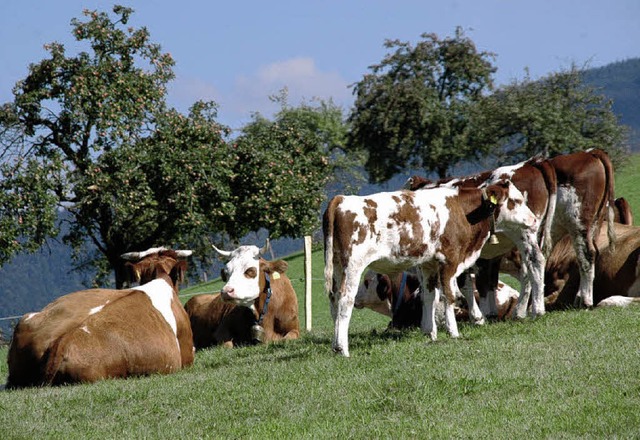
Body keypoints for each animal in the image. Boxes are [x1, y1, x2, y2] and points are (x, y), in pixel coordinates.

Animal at [322, 180, 536, 356]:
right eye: (516, 200)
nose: (534, 220)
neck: (462, 210)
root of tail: (341, 199)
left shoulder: (428, 264)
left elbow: (430, 296)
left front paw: (430, 333)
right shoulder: (449, 261)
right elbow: (450, 296)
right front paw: (453, 332)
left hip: (337, 266)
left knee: (333, 300)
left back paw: (335, 345)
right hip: (353, 265)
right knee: (345, 301)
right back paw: (343, 348)